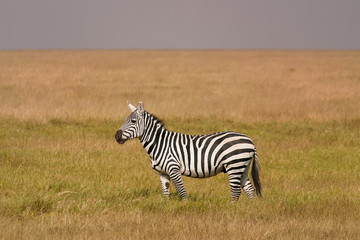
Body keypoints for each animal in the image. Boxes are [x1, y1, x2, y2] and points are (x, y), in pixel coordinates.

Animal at [116, 101, 262, 201]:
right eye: (126, 120)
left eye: (133, 121)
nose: (116, 136)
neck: (159, 143)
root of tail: (250, 140)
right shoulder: (162, 172)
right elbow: (165, 193)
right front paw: (165, 208)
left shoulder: (173, 168)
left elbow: (182, 192)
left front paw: (185, 207)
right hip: (242, 167)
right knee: (249, 190)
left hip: (234, 165)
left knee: (236, 191)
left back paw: (231, 208)